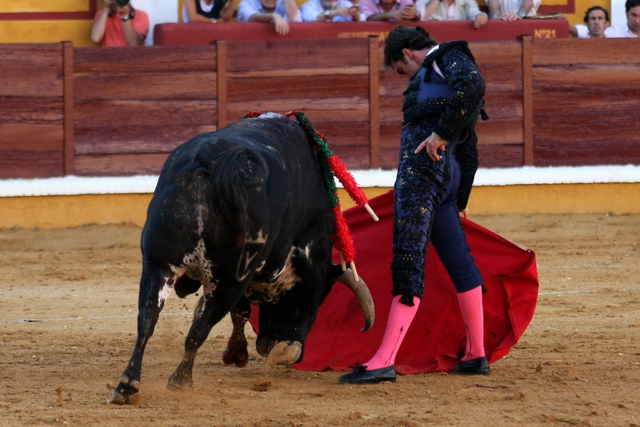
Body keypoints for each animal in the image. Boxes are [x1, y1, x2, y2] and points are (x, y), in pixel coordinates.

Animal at [110, 113, 376, 404]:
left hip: (159, 264)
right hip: (228, 279)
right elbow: (305, 309)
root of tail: (214, 162)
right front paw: (287, 349)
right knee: (199, 328)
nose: (267, 343)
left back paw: (127, 385)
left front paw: (237, 352)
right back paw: (180, 380)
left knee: (147, 318)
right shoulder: (312, 258)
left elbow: (241, 310)